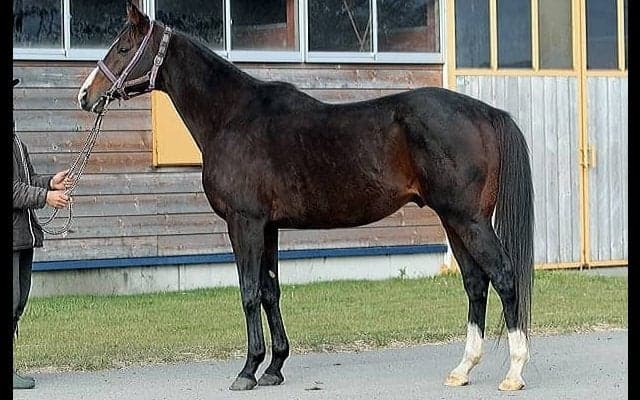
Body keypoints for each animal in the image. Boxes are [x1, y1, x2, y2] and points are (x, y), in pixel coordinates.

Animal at [77, 1, 534, 392]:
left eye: (123, 47)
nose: (85, 95)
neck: (233, 116)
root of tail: (487, 113)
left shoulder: (244, 223)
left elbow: (248, 291)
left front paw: (247, 370)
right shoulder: (269, 227)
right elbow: (270, 290)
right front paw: (274, 367)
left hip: (469, 219)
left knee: (504, 276)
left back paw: (513, 373)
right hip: (453, 220)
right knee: (475, 283)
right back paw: (462, 369)